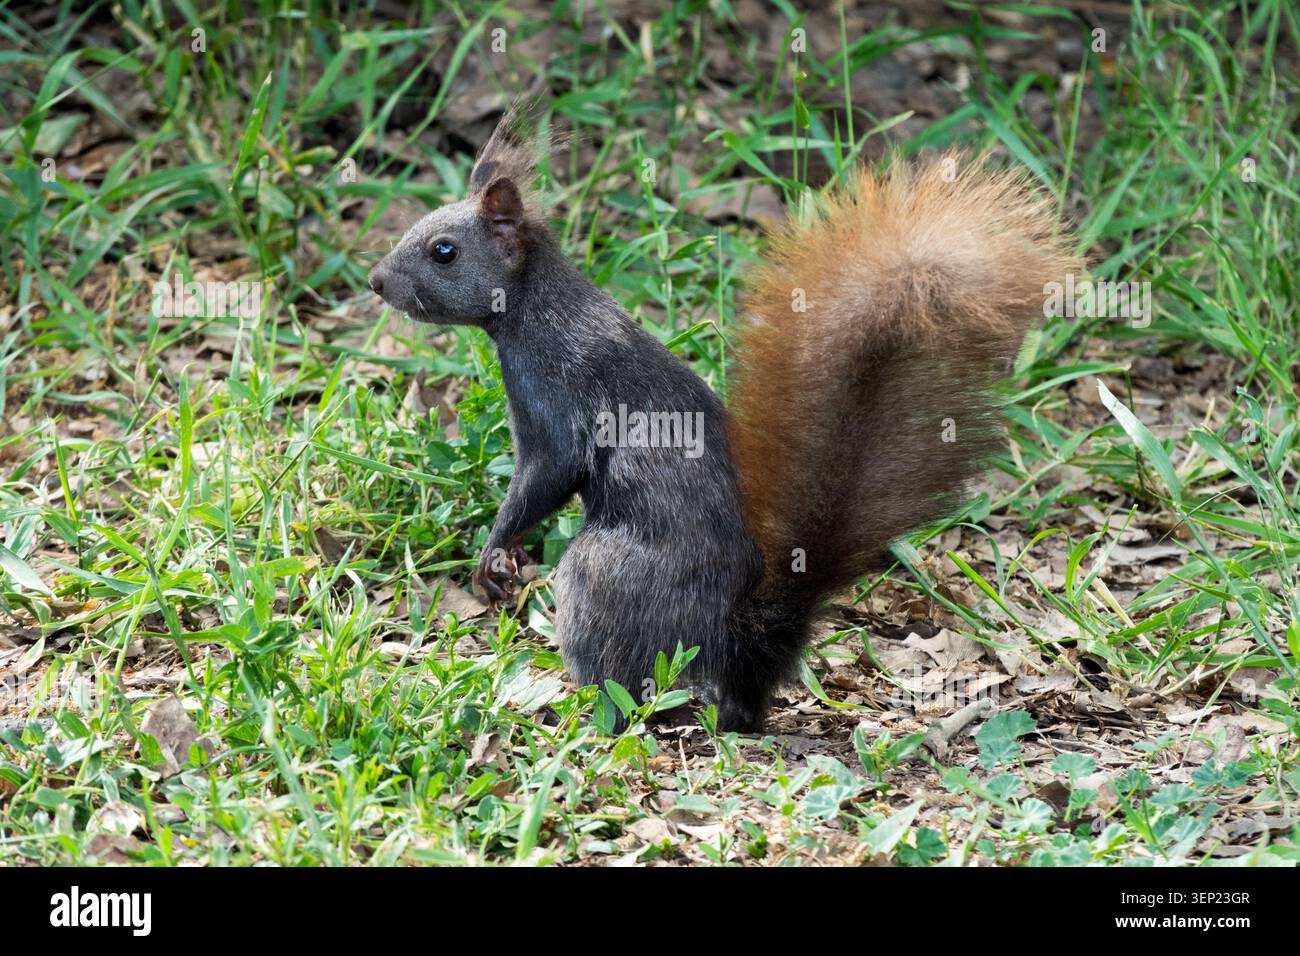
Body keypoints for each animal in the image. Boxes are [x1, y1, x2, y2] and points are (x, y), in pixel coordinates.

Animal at [368, 111, 1078, 732]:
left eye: (443, 251)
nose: (375, 281)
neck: (539, 309)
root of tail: (739, 649)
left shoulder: (557, 399)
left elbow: (546, 476)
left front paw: (494, 555)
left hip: (601, 578)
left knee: (624, 686)